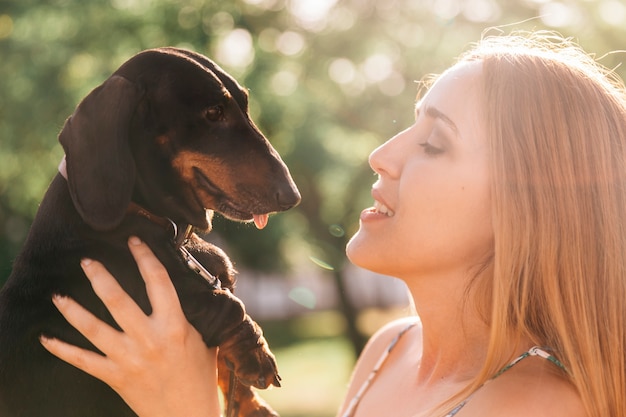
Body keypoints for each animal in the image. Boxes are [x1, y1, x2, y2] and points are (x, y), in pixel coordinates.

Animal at [0, 47, 300, 416]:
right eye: (213, 113)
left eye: (245, 105)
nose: (292, 196)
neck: (172, 234)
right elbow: (230, 305)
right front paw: (255, 356)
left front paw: (250, 402)